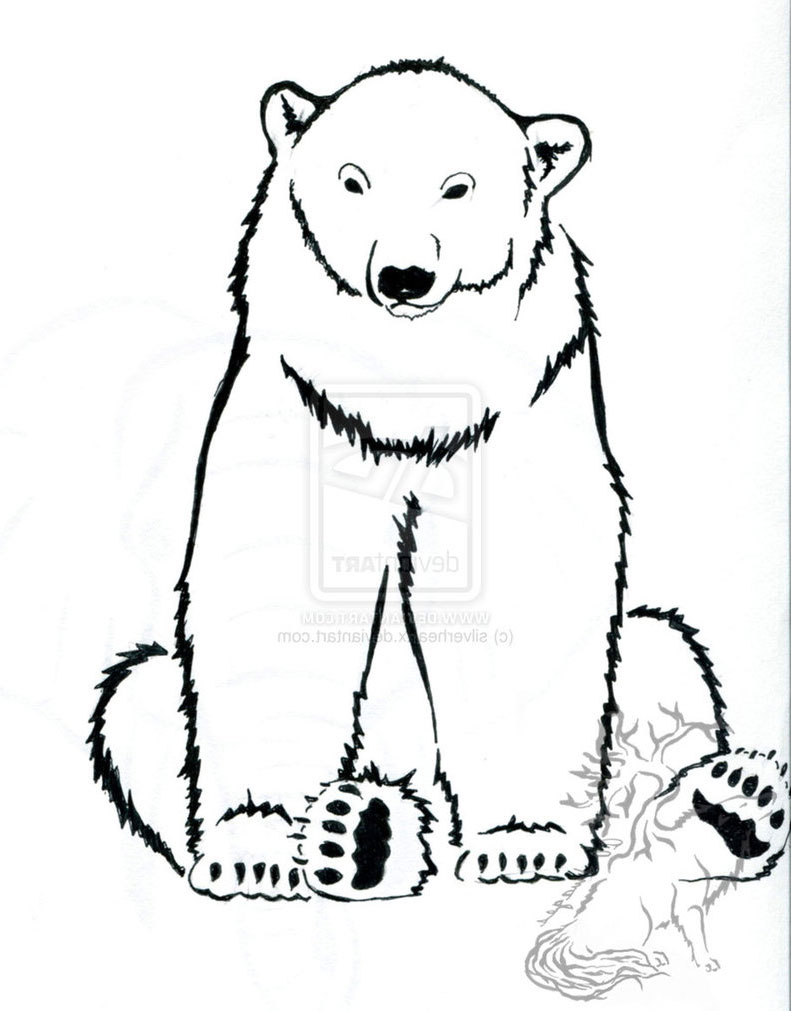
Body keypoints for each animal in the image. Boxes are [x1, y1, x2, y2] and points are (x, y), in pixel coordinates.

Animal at [89, 58, 784, 905]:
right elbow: (271, 597)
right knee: (136, 693)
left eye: (459, 187)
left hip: (643, 668)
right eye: (352, 179)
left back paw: (730, 807)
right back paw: (364, 834)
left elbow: (523, 595)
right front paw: (256, 848)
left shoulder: (516, 408)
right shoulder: (305, 401)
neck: (405, 390)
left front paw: (524, 842)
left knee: (662, 652)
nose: (403, 275)